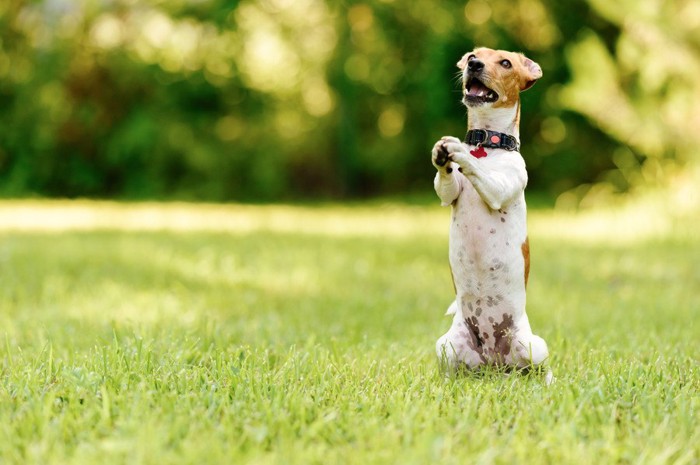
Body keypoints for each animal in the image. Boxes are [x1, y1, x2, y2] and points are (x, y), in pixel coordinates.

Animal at [432, 47, 552, 380]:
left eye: (506, 63)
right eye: (473, 55)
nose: (473, 64)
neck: (487, 145)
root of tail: (494, 362)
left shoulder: (499, 188)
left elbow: (479, 171)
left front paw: (459, 152)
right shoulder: (449, 194)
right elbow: (445, 183)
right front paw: (442, 156)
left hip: (533, 346)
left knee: (542, 369)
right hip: (446, 346)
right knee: (454, 369)